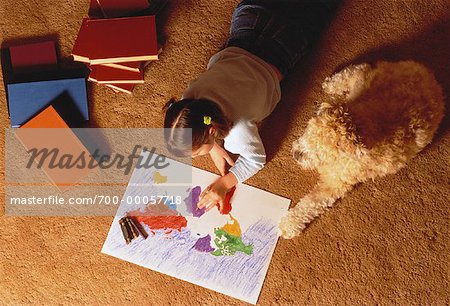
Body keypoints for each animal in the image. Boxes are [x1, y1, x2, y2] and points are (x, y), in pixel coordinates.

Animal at [280, 60, 444, 239]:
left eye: (321, 154)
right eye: (308, 131)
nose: (297, 155)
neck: (357, 127)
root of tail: (428, 75)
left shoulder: (336, 184)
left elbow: (312, 202)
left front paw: (289, 224)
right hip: (369, 79)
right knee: (359, 69)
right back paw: (331, 85)